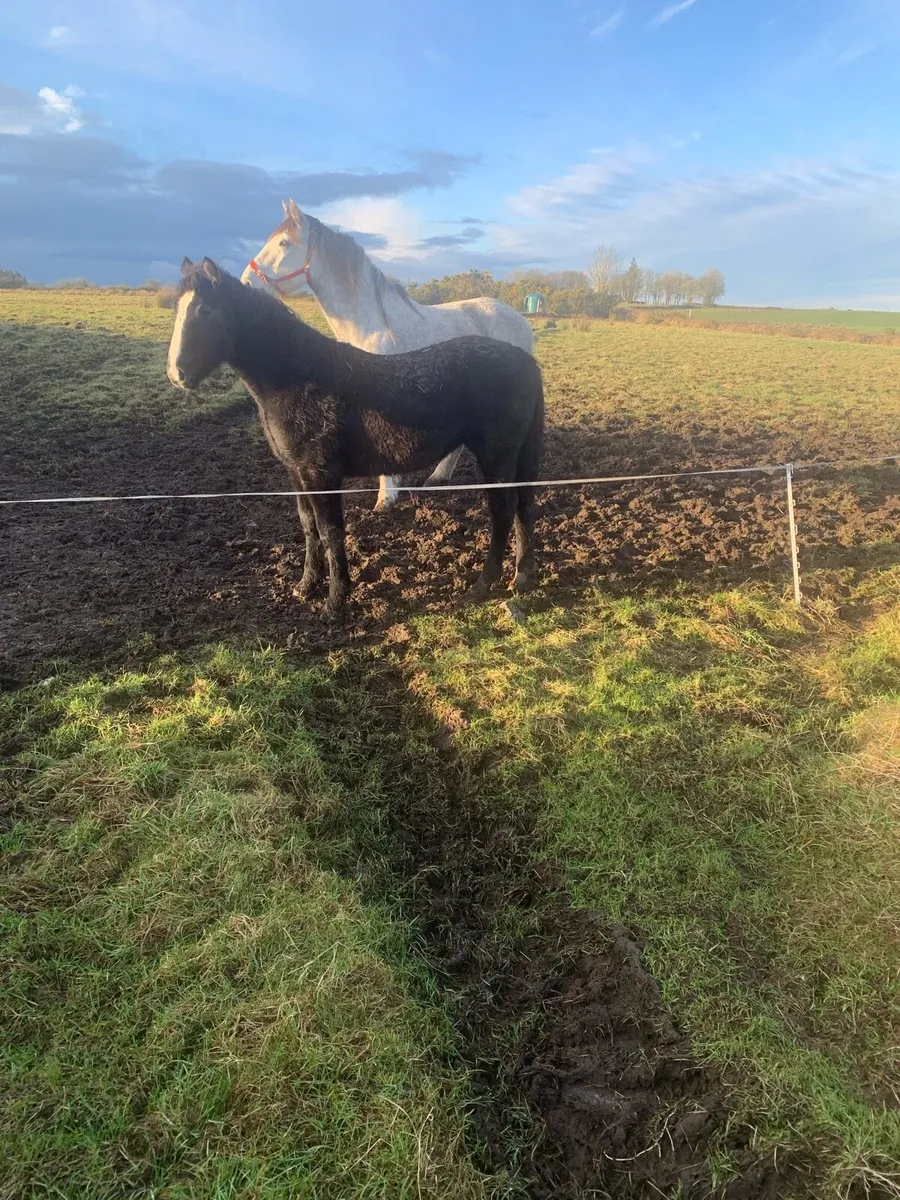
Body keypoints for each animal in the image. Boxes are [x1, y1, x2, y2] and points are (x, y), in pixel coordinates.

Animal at [168, 257, 544, 616]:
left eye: (204, 310)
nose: (176, 374)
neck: (298, 378)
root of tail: (525, 361)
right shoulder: (297, 473)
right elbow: (309, 526)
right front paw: (306, 586)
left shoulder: (321, 475)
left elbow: (331, 531)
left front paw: (335, 601)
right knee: (523, 506)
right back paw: (522, 576)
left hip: (496, 455)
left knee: (503, 510)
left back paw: (483, 584)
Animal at [240, 198, 535, 512]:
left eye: (284, 243)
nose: (246, 282)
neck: (372, 324)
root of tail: (521, 320)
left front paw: (385, 499)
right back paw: (438, 477)